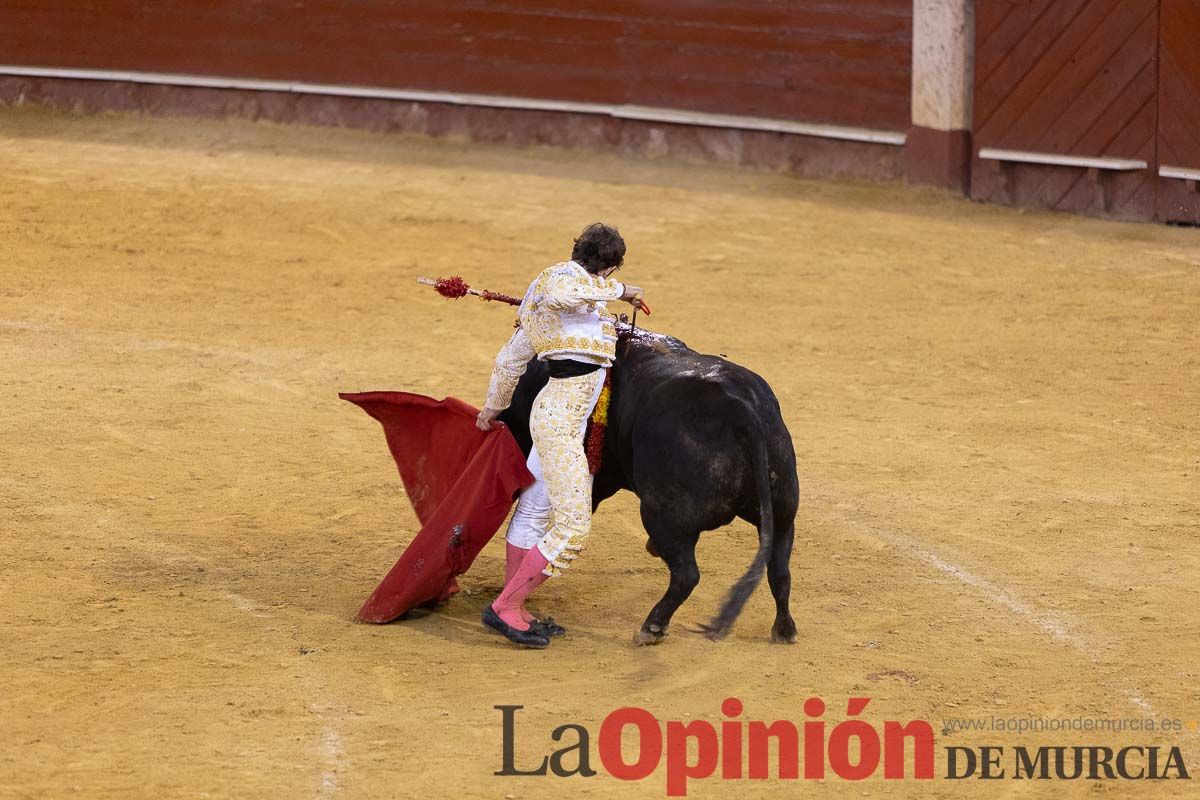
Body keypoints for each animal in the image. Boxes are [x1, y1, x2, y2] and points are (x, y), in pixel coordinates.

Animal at [496, 328, 796, 647]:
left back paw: (652, 626)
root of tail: (742, 409)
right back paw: (785, 630)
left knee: (687, 574)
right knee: (779, 571)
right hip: (783, 512)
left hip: (663, 516)